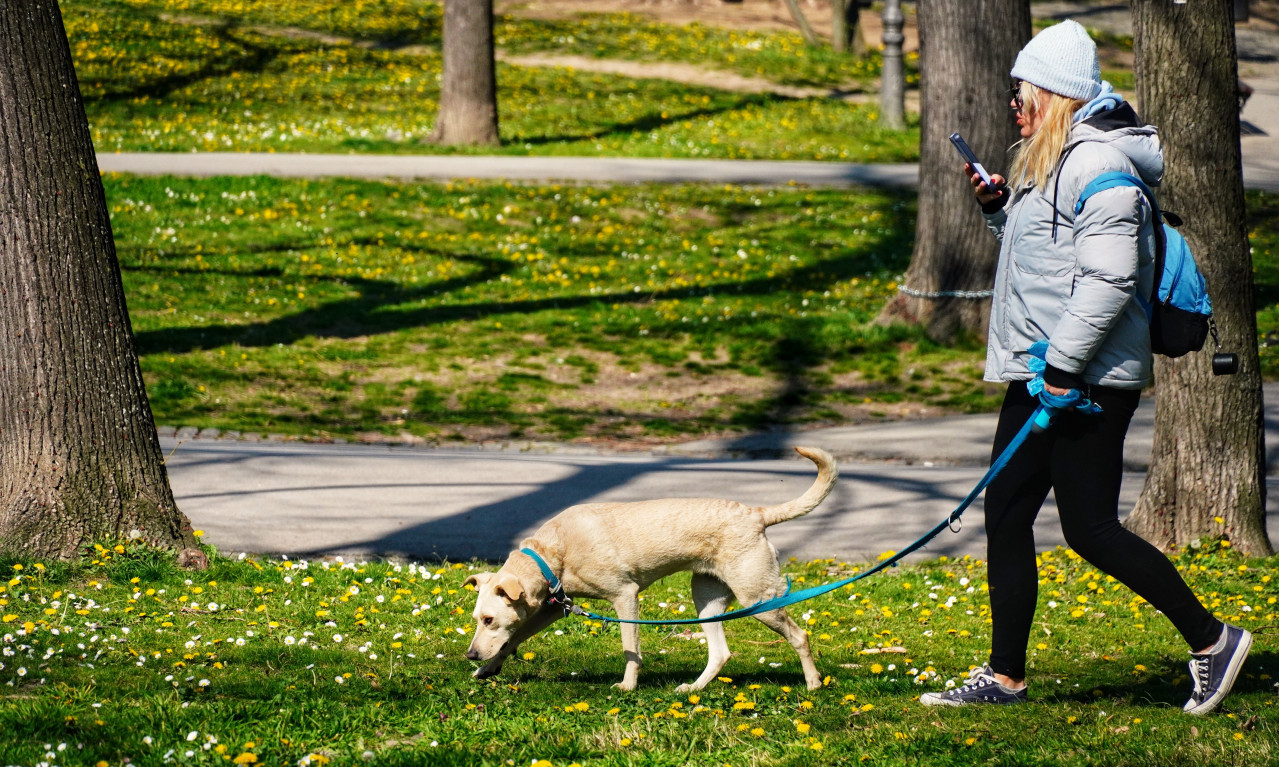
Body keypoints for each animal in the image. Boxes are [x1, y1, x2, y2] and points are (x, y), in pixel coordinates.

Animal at [465, 447, 833, 690]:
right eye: (478, 619)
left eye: (489, 620)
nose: (470, 654)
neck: (554, 551)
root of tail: (756, 513)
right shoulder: (552, 608)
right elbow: (515, 637)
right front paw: (488, 669)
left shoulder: (625, 597)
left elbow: (631, 650)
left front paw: (627, 686)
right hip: (707, 602)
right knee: (720, 653)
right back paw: (693, 690)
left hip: (759, 600)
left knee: (800, 636)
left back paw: (813, 684)